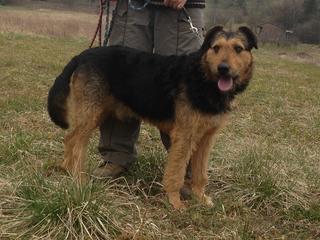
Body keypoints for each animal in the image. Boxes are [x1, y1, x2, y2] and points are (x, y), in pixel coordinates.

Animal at [47, 26, 258, 209]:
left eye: (238, 49)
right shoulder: (184, 136)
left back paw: (68, 171)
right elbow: (176, 173)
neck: (203, 78)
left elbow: (200, 173)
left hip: (97, 113)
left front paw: (200, 198)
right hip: (90, 113)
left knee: (70, 140)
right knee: (74, 142)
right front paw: (175, 203)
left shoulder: (206, 138)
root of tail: (81, 56)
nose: (223, 68)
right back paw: (79, 179)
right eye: (216, 48)